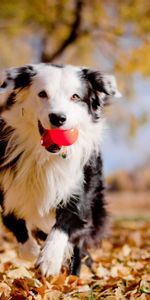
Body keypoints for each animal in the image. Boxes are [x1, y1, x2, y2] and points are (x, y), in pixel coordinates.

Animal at [0, 64, 120, 278]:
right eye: (42, 94)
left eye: (75, 96)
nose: (58, 118)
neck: (47, 157)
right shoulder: (8, 196)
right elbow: (22, 238)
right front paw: (35, 253)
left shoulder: (79, 194)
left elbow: (63, 226)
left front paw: (49, 260)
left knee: (79, 246)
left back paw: (75, 275)